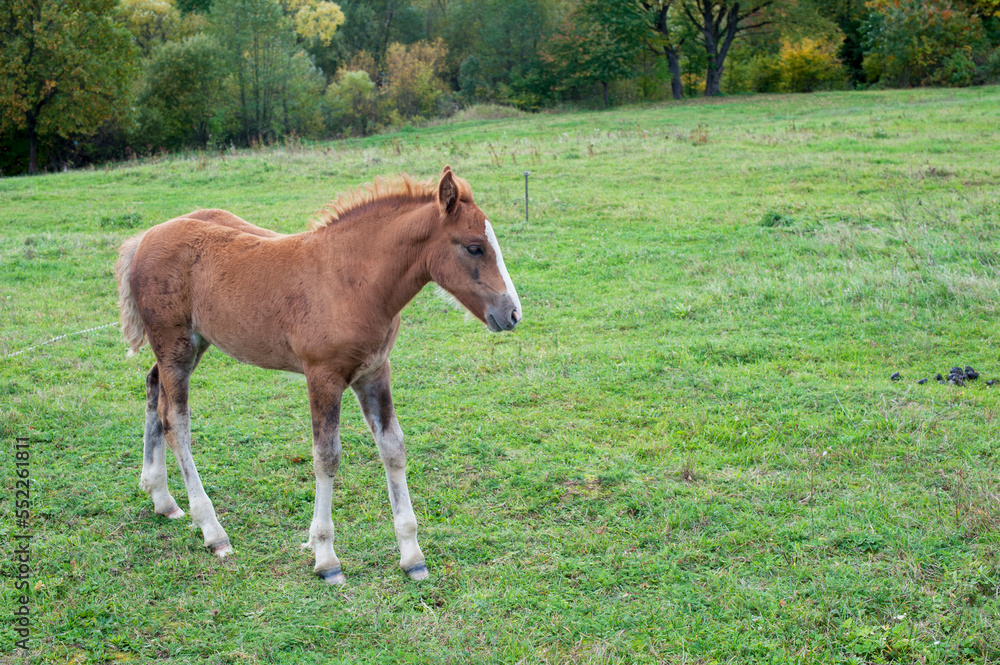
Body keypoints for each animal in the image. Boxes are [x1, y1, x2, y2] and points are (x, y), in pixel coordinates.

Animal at [115, 166, 521, 584]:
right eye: (474, 247)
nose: (512, 313)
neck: (351, 281)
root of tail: (145, 237)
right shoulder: (322, 377)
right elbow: (327, 457)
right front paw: (326, 557)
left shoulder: (374, 373)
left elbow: (393, 449)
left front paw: (412, 556)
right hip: (175, 345)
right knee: (176, 422)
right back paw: (213, 531)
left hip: (192, 344)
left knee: (153, 389)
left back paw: (161, 497)